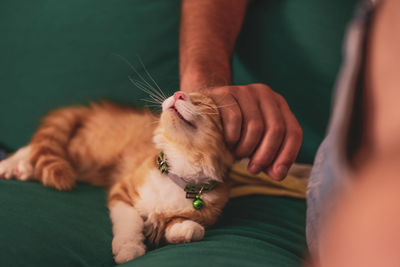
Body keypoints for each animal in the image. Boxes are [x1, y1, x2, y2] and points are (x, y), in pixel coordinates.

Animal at [0, 91, 234, 264]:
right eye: (181, 90)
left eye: (199, 102)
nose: (178, 94)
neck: (179, 174)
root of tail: (93, 109)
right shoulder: (123, 191)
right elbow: (129, 221)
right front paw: (129, 248)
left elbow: (178, 223)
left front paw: (187, 229)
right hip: (90, 153)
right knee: (40, 148)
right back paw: (9, 165)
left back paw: (22, 169)